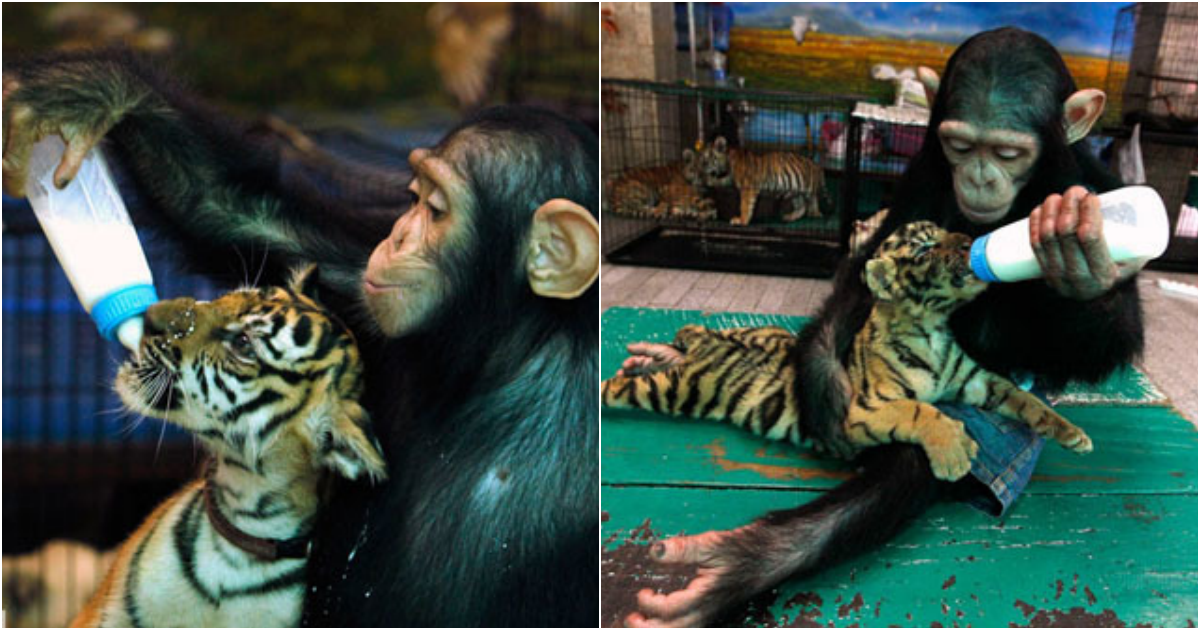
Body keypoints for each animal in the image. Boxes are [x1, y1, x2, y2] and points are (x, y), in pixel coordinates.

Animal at [1, 49, 600, 624]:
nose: (398, 237)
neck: (501, 354)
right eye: (413, 197)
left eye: (436, 210)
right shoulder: (358, 274)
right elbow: (256, 216)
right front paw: (89, 91)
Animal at [619, 27, 1142, 624]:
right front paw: (840, 393)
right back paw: (739, 563)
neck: (934, 331)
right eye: (961, 146)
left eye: (1009, 153)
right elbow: (898, 368)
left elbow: (1026, 391)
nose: (978, 178)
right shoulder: (920, 182)